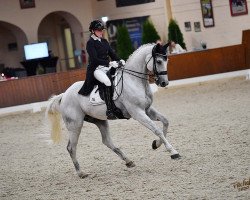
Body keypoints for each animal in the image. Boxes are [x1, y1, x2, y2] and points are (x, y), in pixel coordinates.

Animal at [46, 43, 181, 177]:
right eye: (158, 61)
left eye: (166, 60)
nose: (164, 83)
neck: (133, 81)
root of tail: (64, 94)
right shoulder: (137, 112)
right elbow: (156, 129)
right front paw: (173, 151)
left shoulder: (147, 110)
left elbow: (165, 122)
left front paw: (156, 144)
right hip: (75, 125)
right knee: (71, 147)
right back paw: (81, 173)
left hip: (99, 120)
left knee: (106, 141)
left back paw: (128, 161)